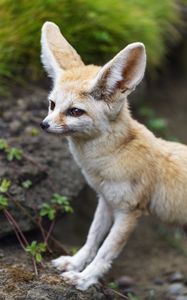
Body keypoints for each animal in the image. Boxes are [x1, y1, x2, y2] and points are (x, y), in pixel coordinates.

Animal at [40, 21, 187, 290]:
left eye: (75, 111)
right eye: (52, 105)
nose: (44, 125)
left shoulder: (130, 212)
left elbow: (105, 251)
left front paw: (84, 278)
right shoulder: (106, 201)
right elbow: (91, 239)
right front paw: (75, 263)